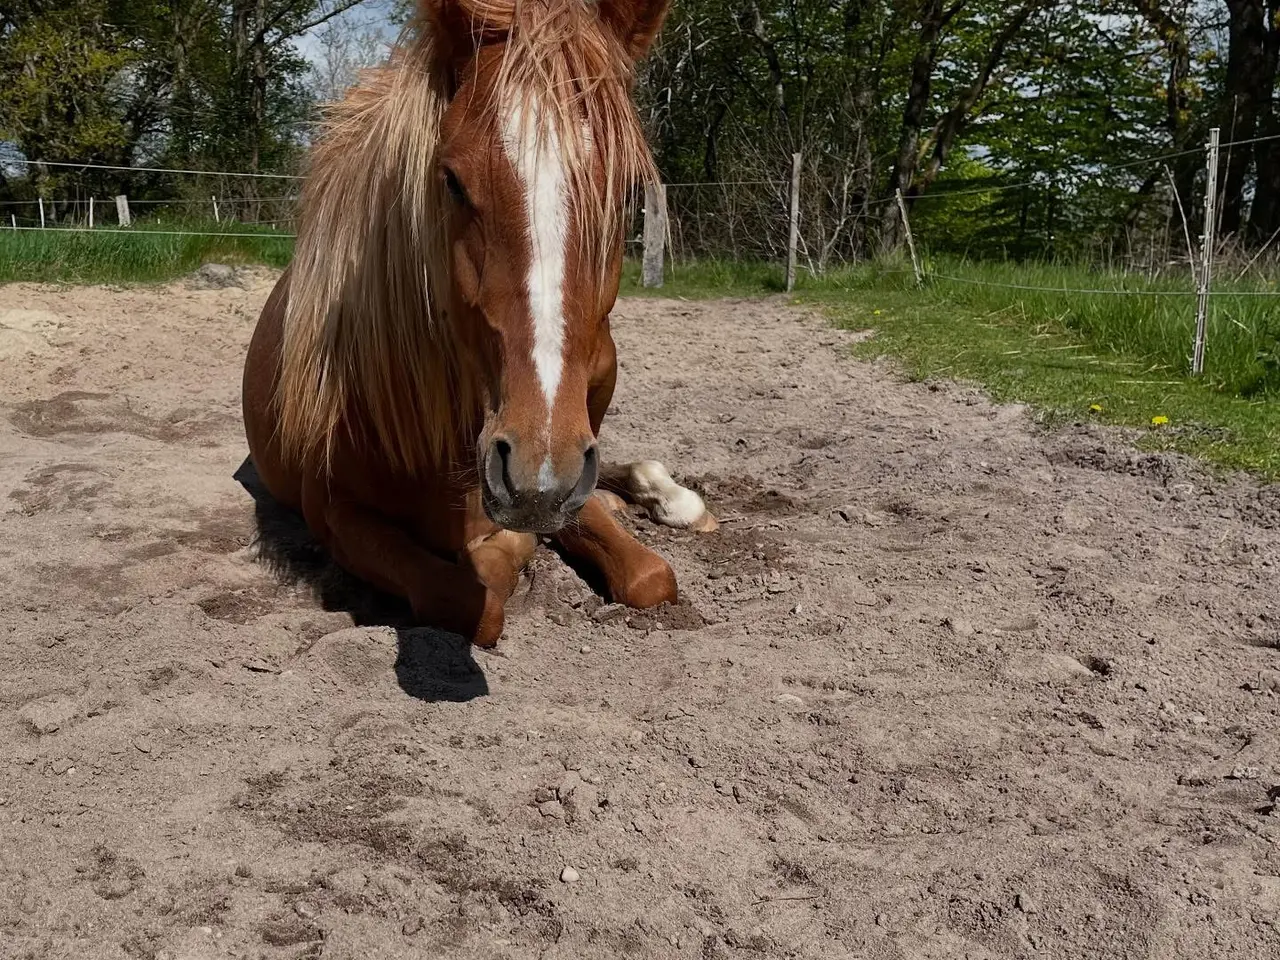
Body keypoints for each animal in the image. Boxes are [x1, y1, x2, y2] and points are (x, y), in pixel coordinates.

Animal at [241, 0, 716, 647]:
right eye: (451, 180)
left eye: (626, 190)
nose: (539, 476)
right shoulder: (333, 511)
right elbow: (471, 596)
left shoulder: (572, 471)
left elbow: (648, 576)